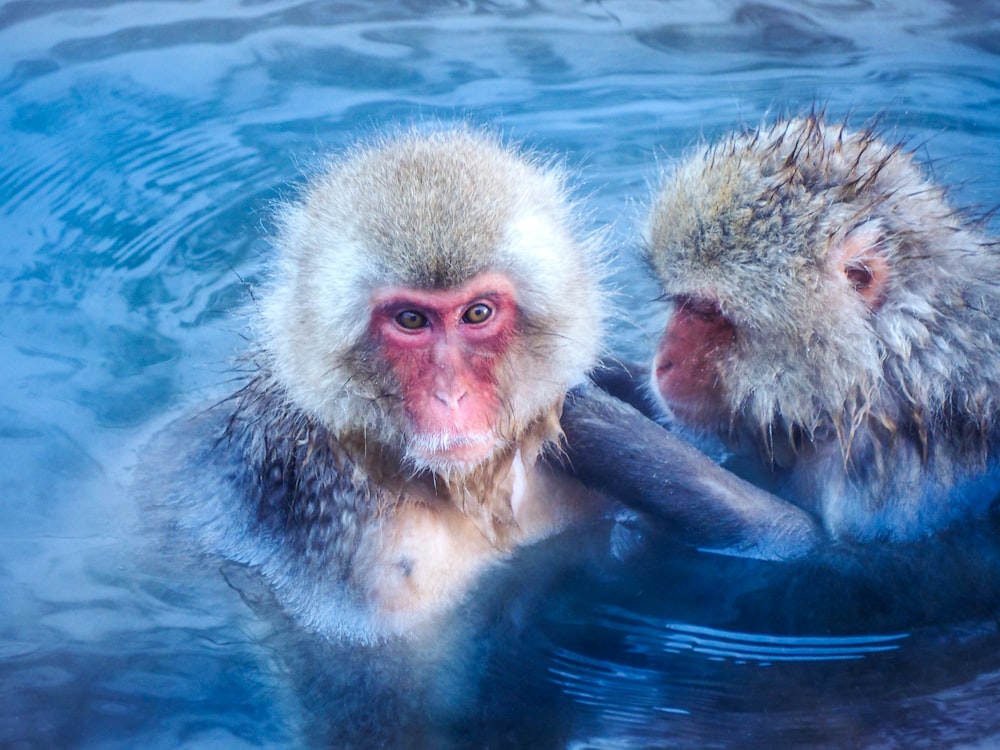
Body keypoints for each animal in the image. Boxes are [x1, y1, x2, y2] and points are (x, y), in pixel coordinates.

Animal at [568, 113, 1000, 548]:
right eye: (680, 303)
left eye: (705, 311)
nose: (663, 362)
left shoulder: (893, 462)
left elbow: (811, 543)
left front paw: (602, 428)